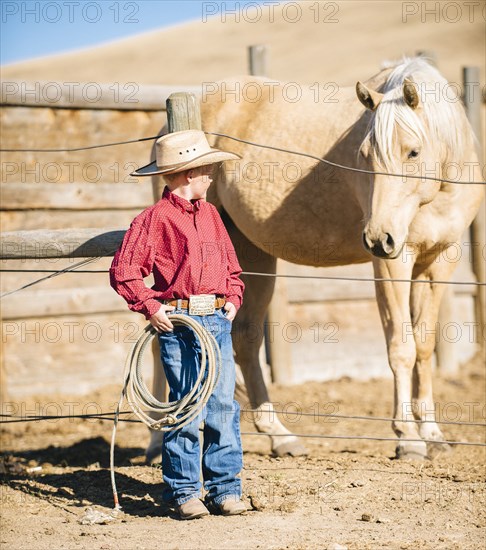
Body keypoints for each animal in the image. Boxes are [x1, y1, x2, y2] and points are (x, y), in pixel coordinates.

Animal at [147, 58, 482, 464]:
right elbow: (400, 348)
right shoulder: (394, 263)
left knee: (245, 339)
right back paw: (156, 441)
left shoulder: (437, 263)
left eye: (413, 152)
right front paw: (408, 439)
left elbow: (424, 346)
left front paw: (433, 434)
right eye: (363, 155)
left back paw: (280, 436)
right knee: (163, 338)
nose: (378, 237)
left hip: (251, 255)